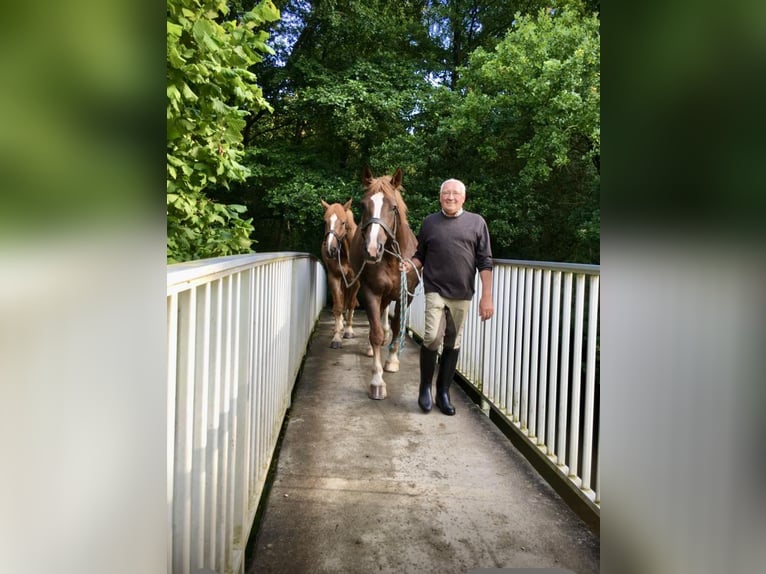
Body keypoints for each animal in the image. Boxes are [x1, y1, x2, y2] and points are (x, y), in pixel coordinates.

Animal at [322, 198, 362, 352]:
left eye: (343, 222)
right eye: (325, 221)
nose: (330, 249)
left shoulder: (355, 281)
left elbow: (351, 303)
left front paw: (349, 331)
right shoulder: (334, 277)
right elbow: (338, 306)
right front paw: (336, 338)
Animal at [352, 166, 424, 400]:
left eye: (393, 207)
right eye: (363, 205)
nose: (372, 249)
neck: (392, 258)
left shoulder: (405, 294)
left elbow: (396, 325)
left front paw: (392, 361)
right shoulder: (370, 292)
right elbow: (375, 332)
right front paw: (377, 381)